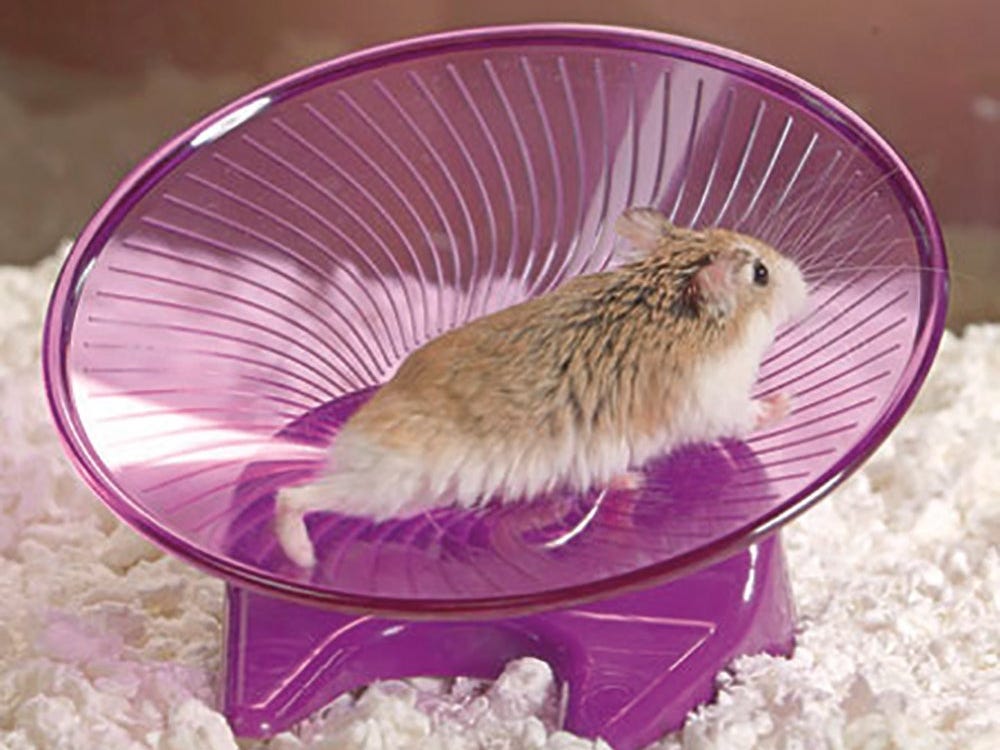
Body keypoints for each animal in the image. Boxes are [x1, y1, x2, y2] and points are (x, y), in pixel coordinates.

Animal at [274, 207, 809, 567]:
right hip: (385, 487)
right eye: (761, 274)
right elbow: (750, 415)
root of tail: (348, 439)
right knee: (291, 494)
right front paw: (789, 400)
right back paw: (303, 557)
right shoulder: (714, 403)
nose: (804, 282)